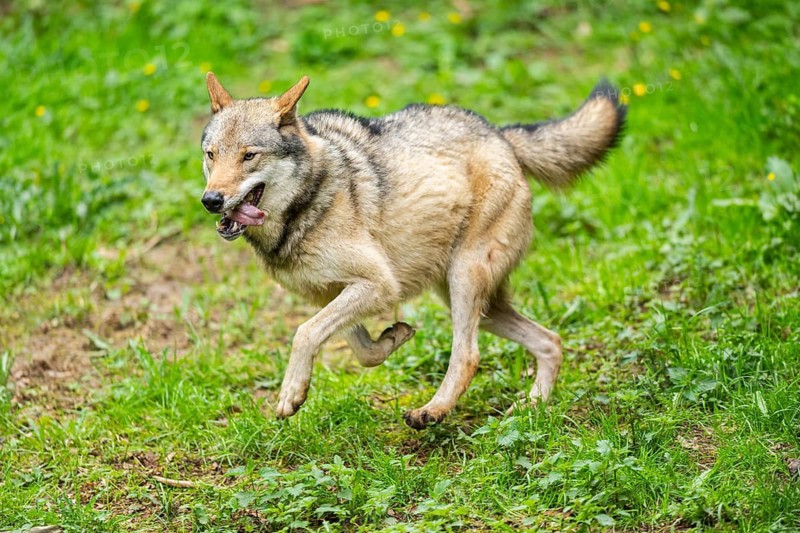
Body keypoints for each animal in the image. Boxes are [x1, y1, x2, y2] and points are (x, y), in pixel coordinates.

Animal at [200, 72, 625, 429]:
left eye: (249, 155)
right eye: (211, 154)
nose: (211, 200)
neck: (303, 209)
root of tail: (499, 134)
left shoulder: (378, 284)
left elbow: (304, 334)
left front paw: (291, 394)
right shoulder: (334, 293)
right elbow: (363, 351)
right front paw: (394, 338)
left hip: (464, 282)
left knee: (468, 356)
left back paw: (432, 411)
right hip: (476, 304)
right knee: (551, 341)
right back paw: (532, 407)